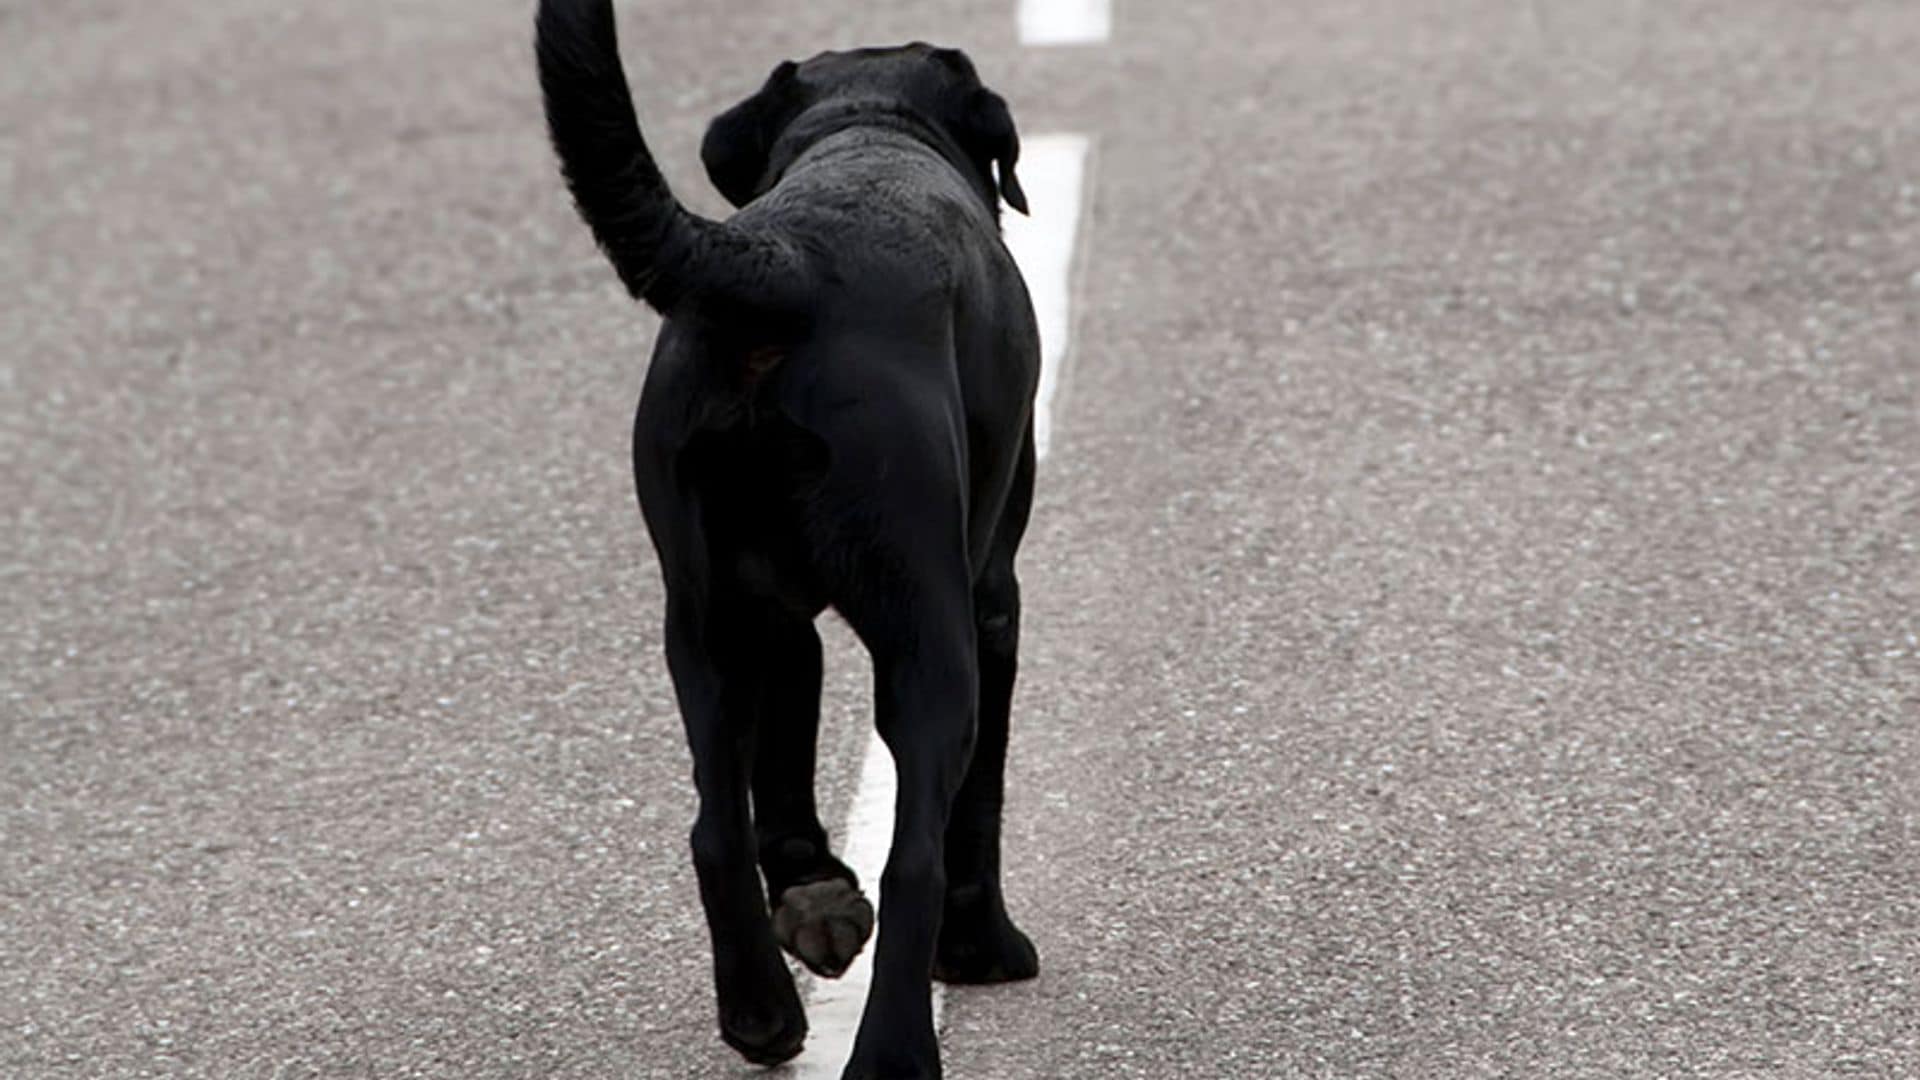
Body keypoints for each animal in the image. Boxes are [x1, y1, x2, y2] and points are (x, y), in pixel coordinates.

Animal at [533, 4, 1044, 1068]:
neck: (869, 127)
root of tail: (786, 266)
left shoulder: (776, 615)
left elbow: (782, 763)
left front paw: (813, 892)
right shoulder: (992, 597)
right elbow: (977, 804)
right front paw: (984, 951)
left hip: (704, 618)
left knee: (714, 832)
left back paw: (762, 1013)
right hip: (929, 636)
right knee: (916, 855)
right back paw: (894, 1050)